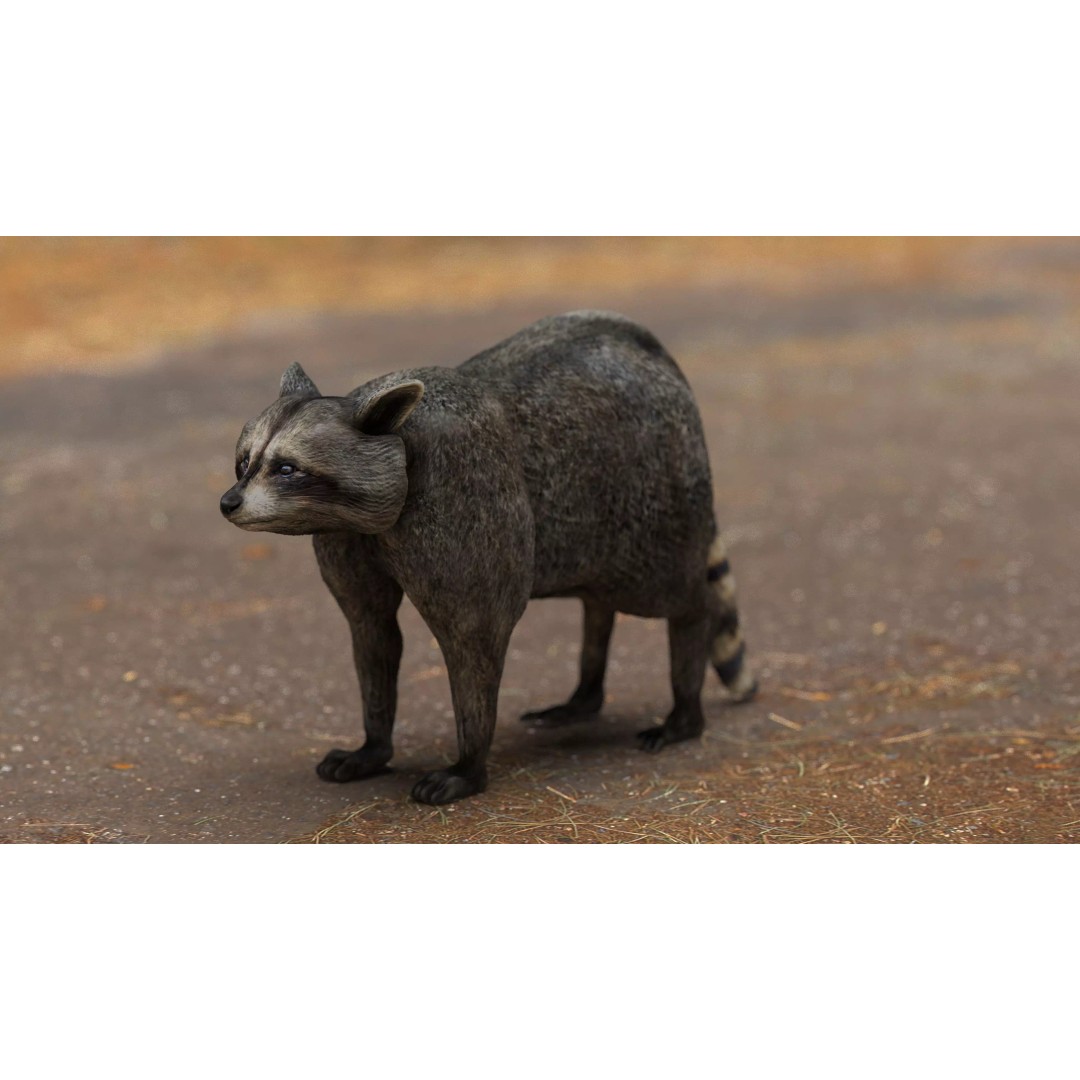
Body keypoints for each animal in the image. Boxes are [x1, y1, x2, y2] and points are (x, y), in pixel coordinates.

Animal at [220, 311, 758, 805]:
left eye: (287, 468)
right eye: (244, 462)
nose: (229, 502)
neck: (398, 438)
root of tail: (649, 347)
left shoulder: (462, 495)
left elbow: (474, 639)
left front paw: (470, 763)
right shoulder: (348, 536)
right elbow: (372, 632)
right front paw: (373, 745)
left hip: (653, 502)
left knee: (677, 598)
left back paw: (685, 709)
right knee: (597, 597)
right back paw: (585, 695)